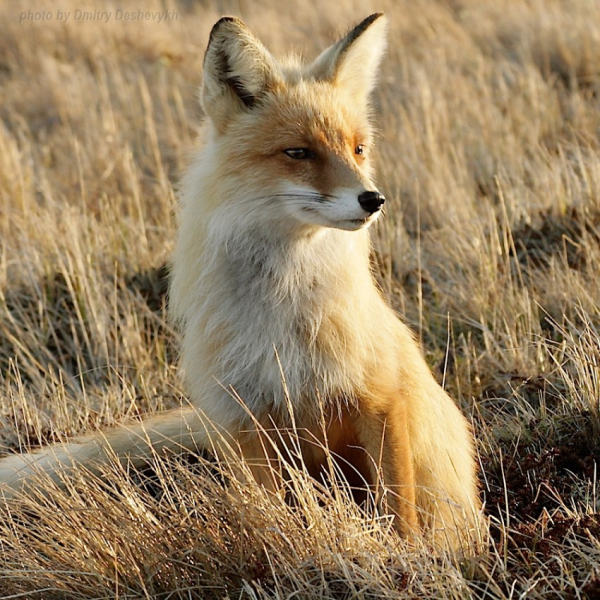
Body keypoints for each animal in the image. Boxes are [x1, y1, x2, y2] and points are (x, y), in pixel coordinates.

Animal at [0, 14, 480, 552]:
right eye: (299, 152)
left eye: (358, 149)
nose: (373, 199)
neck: (284, 318)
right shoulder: (247, 421)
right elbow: (276, 517)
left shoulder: (378, 397)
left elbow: (401, 513)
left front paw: (411, 560)